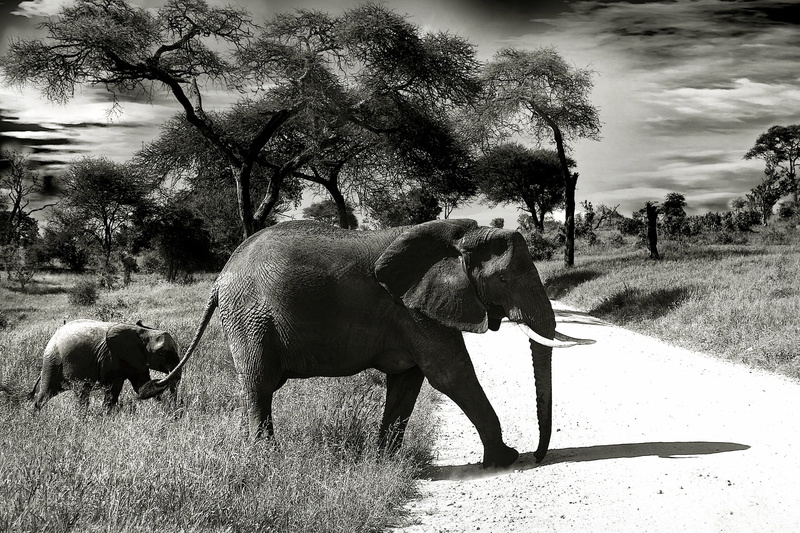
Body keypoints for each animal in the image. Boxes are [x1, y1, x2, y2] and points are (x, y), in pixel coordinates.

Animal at [30, 319, 180, 413]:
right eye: (162, 352)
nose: (175, 411)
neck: (143, 332)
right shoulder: (111, 357)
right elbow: (113, 388)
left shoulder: (137, 359)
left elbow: (142, 387)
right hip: (52, 360)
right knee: (50, 392)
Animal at [141, 219, 592, 467]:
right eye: (503, 279)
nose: (539, 455)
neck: (461, 236)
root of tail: (219, 279)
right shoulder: (411, 308)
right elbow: (451, 375)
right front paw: (506, 460)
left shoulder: (412, 309)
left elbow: (409, 381)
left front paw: (383, 463)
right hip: (248, 318)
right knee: (259, 385)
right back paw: (266, 459)